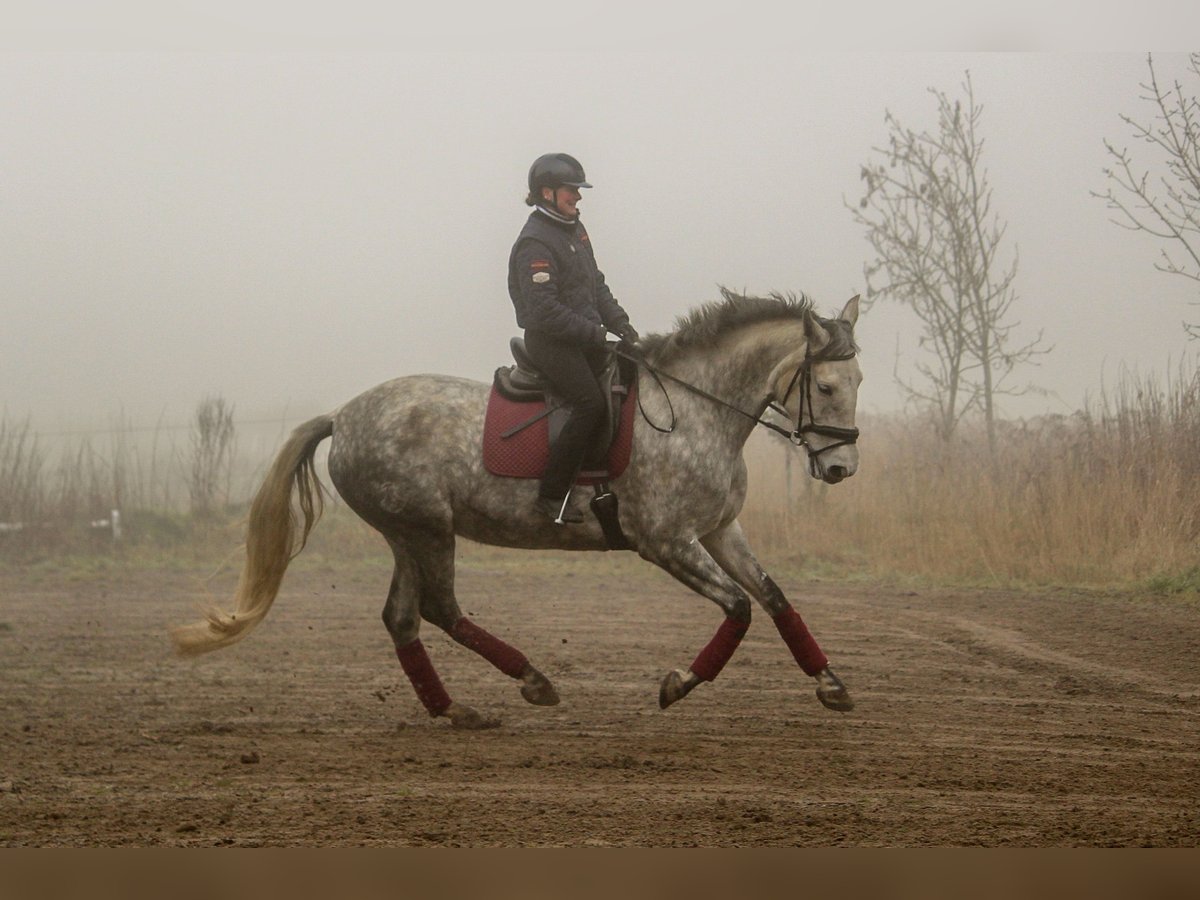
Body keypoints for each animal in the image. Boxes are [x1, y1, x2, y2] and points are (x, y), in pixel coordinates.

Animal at [171, 292, 864, 729]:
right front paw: (677, 684)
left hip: (408, 534)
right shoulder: (666, 540)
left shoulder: (719, 530)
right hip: (426, 529)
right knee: (438, 609)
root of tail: (343, 415)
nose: (841, 470)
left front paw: (831, 685)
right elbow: (740, 609)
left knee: (403, 617)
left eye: (859, 383)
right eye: (826, 385)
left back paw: (457, 710)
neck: (695, 411)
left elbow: (774, 598)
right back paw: (532, 680)